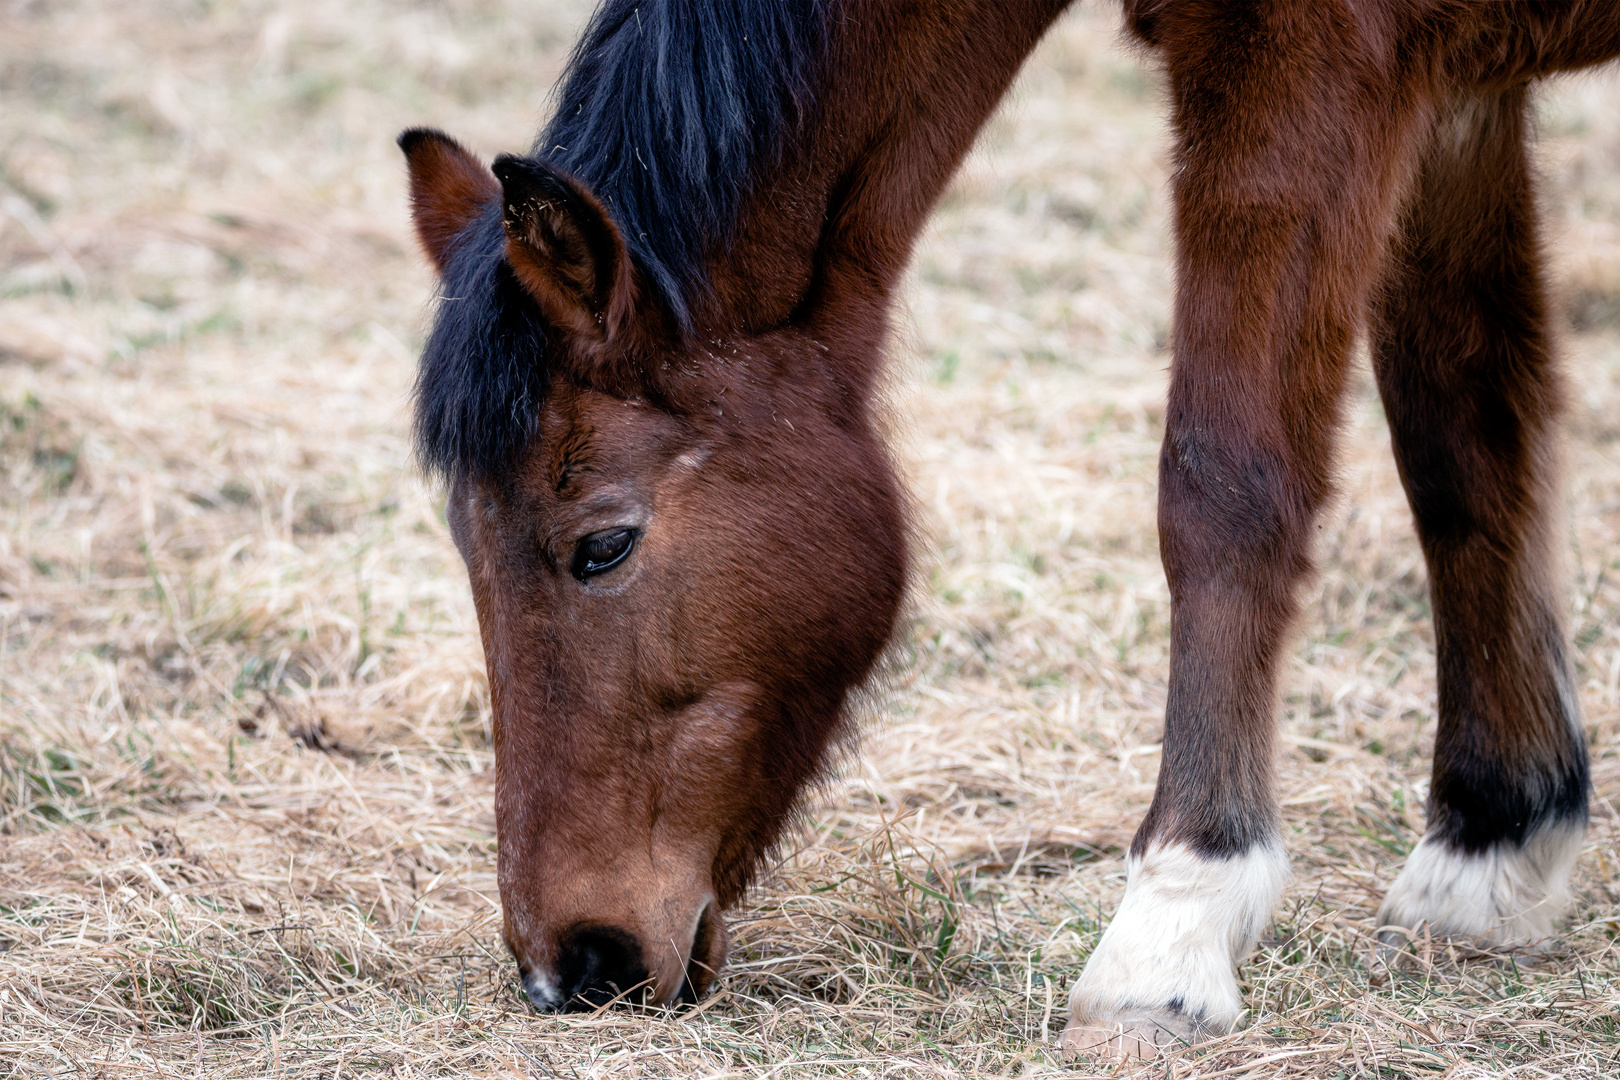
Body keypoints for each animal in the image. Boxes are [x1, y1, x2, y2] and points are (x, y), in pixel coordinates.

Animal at [398, 0, 1613, 1062]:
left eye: (602, 546)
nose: (569, 967)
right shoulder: (1453, 90)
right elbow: (1464, 444)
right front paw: (1494, 844)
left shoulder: (1303, 69)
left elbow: (1223, 486)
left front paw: (1174, 925)